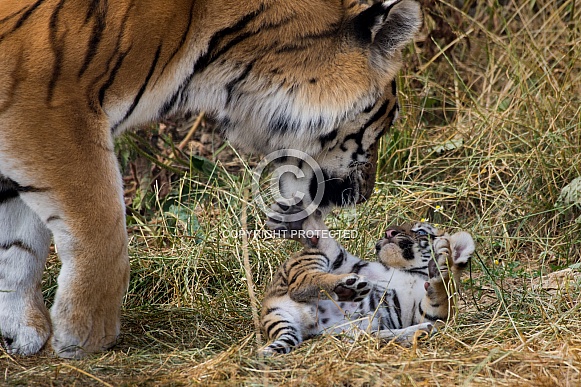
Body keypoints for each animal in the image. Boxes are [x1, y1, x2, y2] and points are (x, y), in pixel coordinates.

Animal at [0, 0, 420, 360]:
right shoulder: (53, 111)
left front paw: (25, 331)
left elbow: (17, 245)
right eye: (384, 124)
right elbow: (101, 230)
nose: (364, 194)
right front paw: (85, 337)